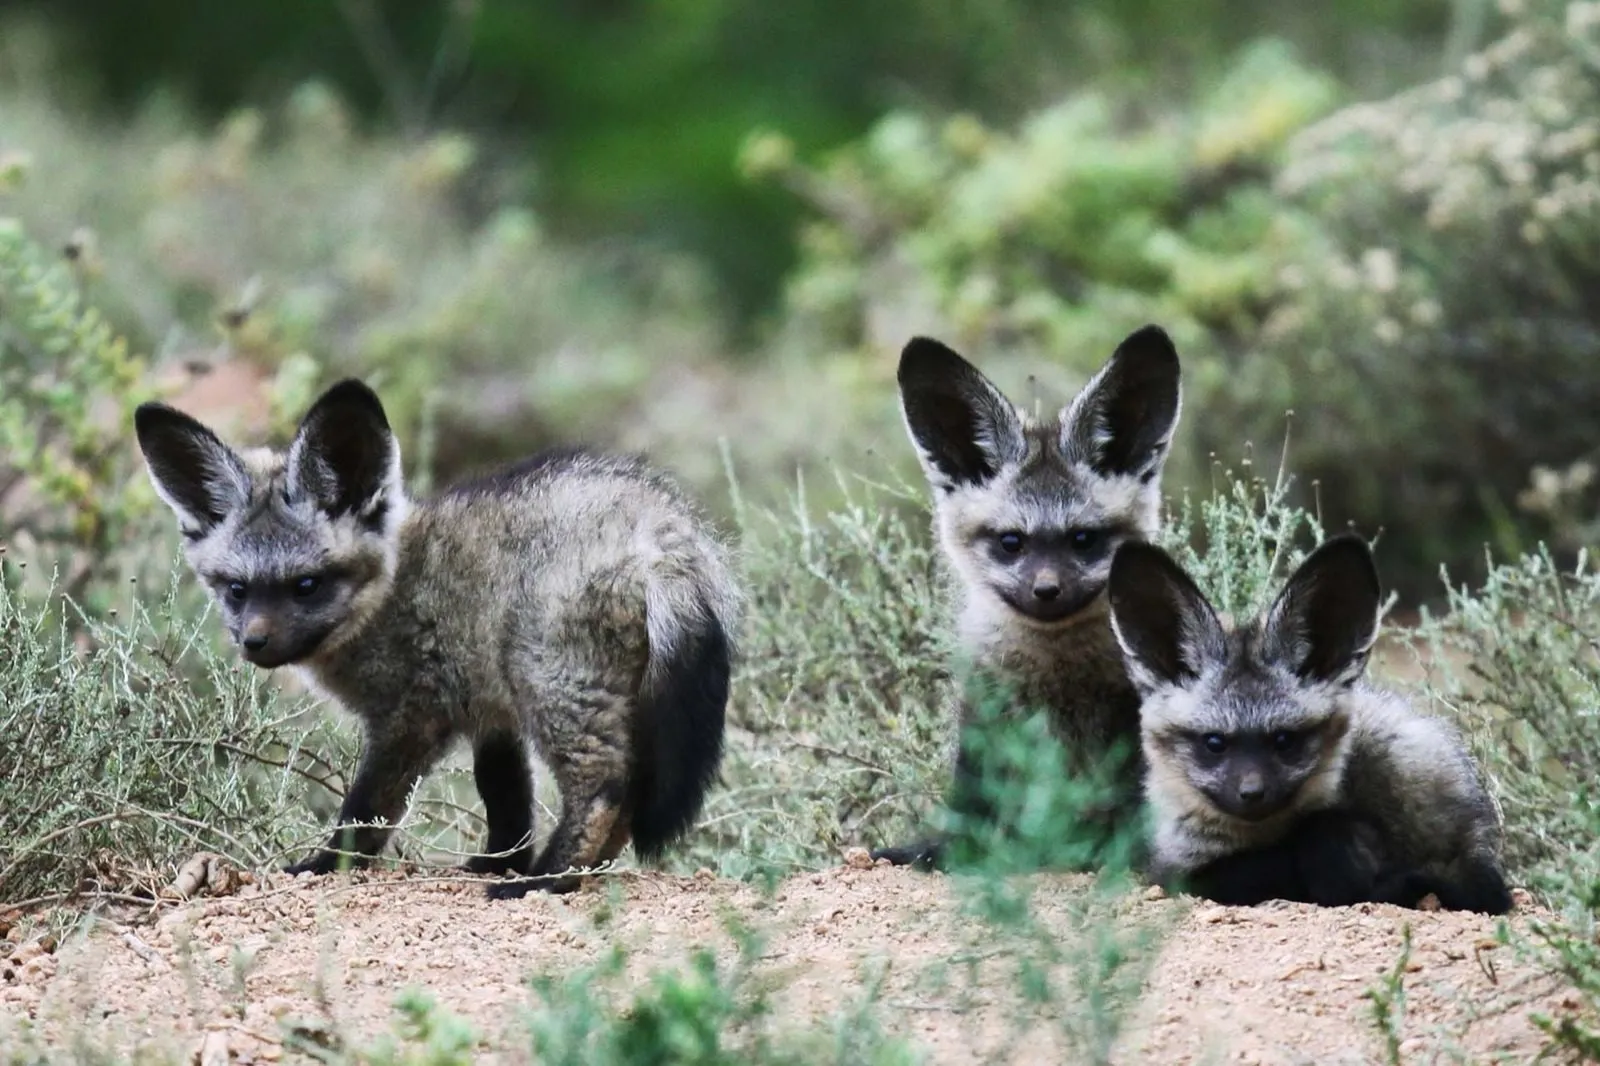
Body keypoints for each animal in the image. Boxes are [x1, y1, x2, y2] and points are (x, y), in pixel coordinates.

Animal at [133, 378, 739, 898]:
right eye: (237, 590)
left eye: (306, 585)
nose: (254, 644)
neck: (391, 589)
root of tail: (661, 529)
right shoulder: (488, 712)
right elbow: (505, 798)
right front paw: (498, 861)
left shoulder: (411, 718)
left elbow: (366, 808)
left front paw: (326, 864)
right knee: (626, 794)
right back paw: (570, 873)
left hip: (550, 684)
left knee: (605, 787)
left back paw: (544, 880)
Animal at [870, 325, 1183, 870]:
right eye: (1011, 542)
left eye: (1083, 540)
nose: (1047, 591)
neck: (1057, 677)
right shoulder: (983, 713)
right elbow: (970, 814)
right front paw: (944, 852)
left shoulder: (1128, 725)